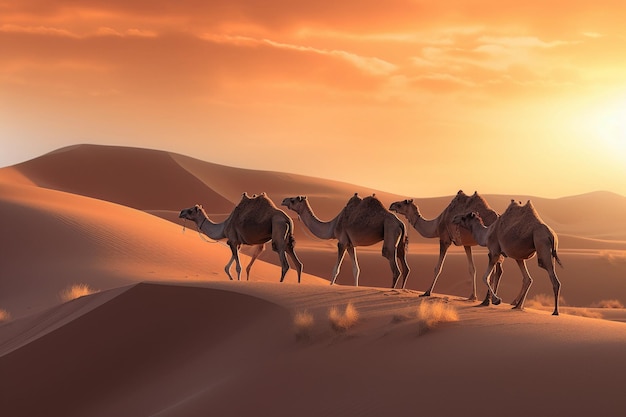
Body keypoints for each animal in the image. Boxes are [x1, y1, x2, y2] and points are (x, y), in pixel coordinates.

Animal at [280, 193, 408, 288]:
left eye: (293, 200)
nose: (283, 200)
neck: (333, 225)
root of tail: (400, 223)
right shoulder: (350, 244)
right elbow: (356, 270)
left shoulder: (342, 242)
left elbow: (336, 269)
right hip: (399, 241)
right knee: (404, 265)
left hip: (390, 230)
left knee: (394, 266)